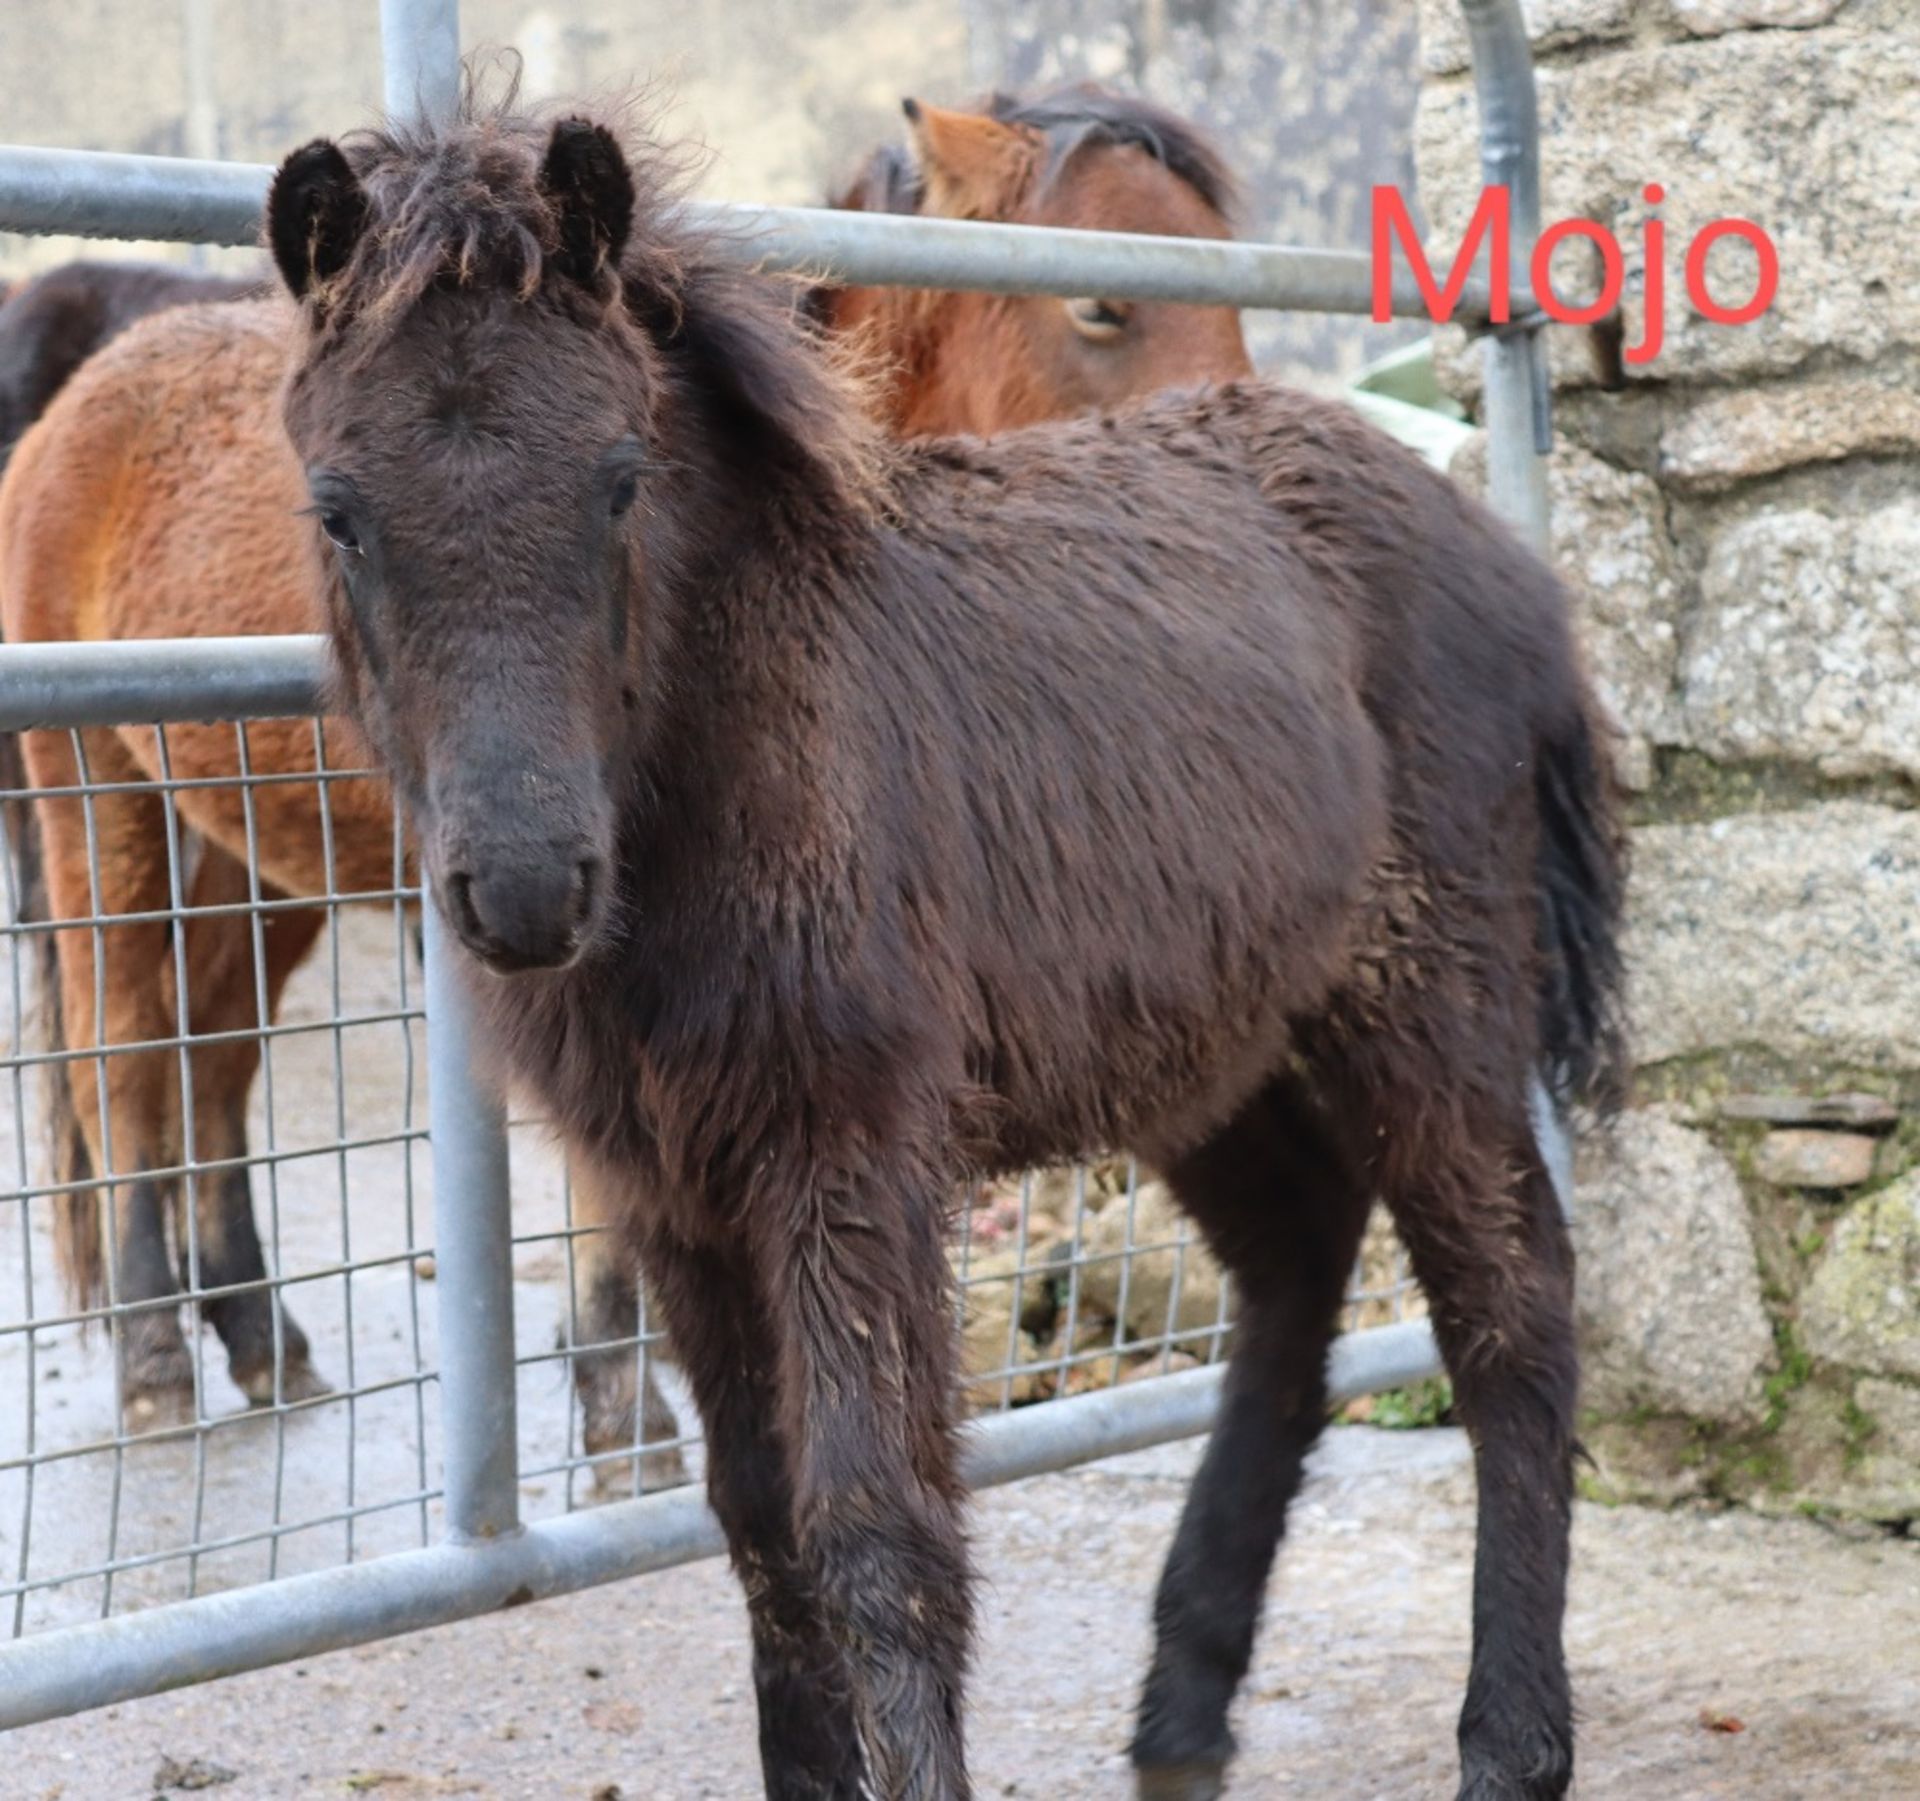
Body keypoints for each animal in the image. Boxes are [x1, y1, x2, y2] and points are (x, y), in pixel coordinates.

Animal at [0, 87, 1244, 1428]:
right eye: (1101, 304)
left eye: (625, 484)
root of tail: (84, 401)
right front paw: (621, 1395)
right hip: (102, 812)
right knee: (128, 1057)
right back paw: (153, 1357)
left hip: (252, 860)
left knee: (216, 1060)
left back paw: (260, 1335)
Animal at [255, 108, 1628, 1797]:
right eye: (337, 509)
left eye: (621, 480)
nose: (523, 891)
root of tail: (1499, 548)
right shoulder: (675, 1189)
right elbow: (760, 1525)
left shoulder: (850, 1148)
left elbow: (878, 1534)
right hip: (1210, 1039)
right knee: (1298, 1260)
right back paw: (1184, 1704)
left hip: (1427, 992)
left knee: (1513, 1306)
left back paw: (1509, 1743)